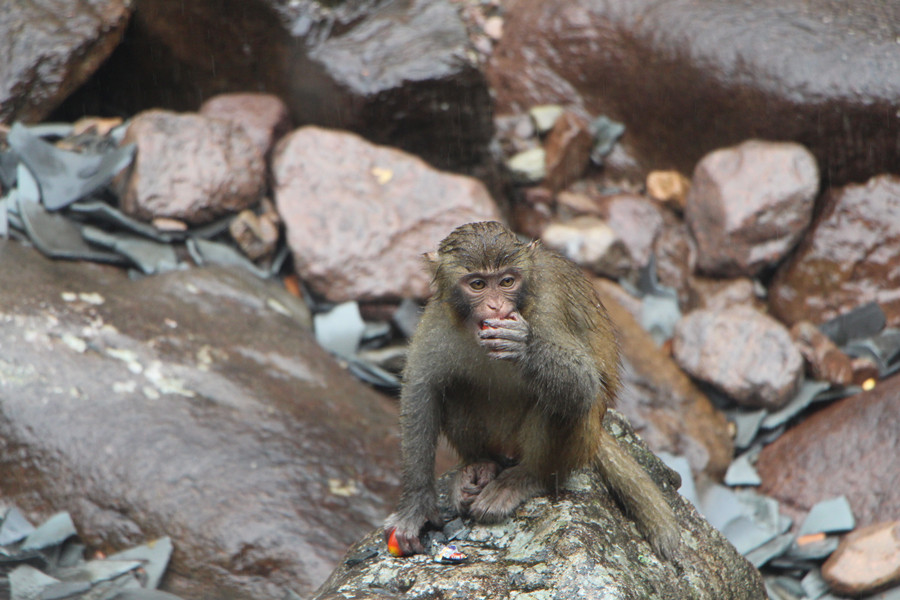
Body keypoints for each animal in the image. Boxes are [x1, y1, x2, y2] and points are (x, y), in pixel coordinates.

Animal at [384, 223, 680, 560]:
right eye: (478, 284)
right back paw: (479, 463)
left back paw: (527, 479)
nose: (497, 307)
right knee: (456, 388)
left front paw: (525, 347)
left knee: (561, 401)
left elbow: (586, 385)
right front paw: (417, 505)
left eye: (507, 281)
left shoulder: (549, 311)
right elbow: (423, 389)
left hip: (575, 442)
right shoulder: (439, 318)